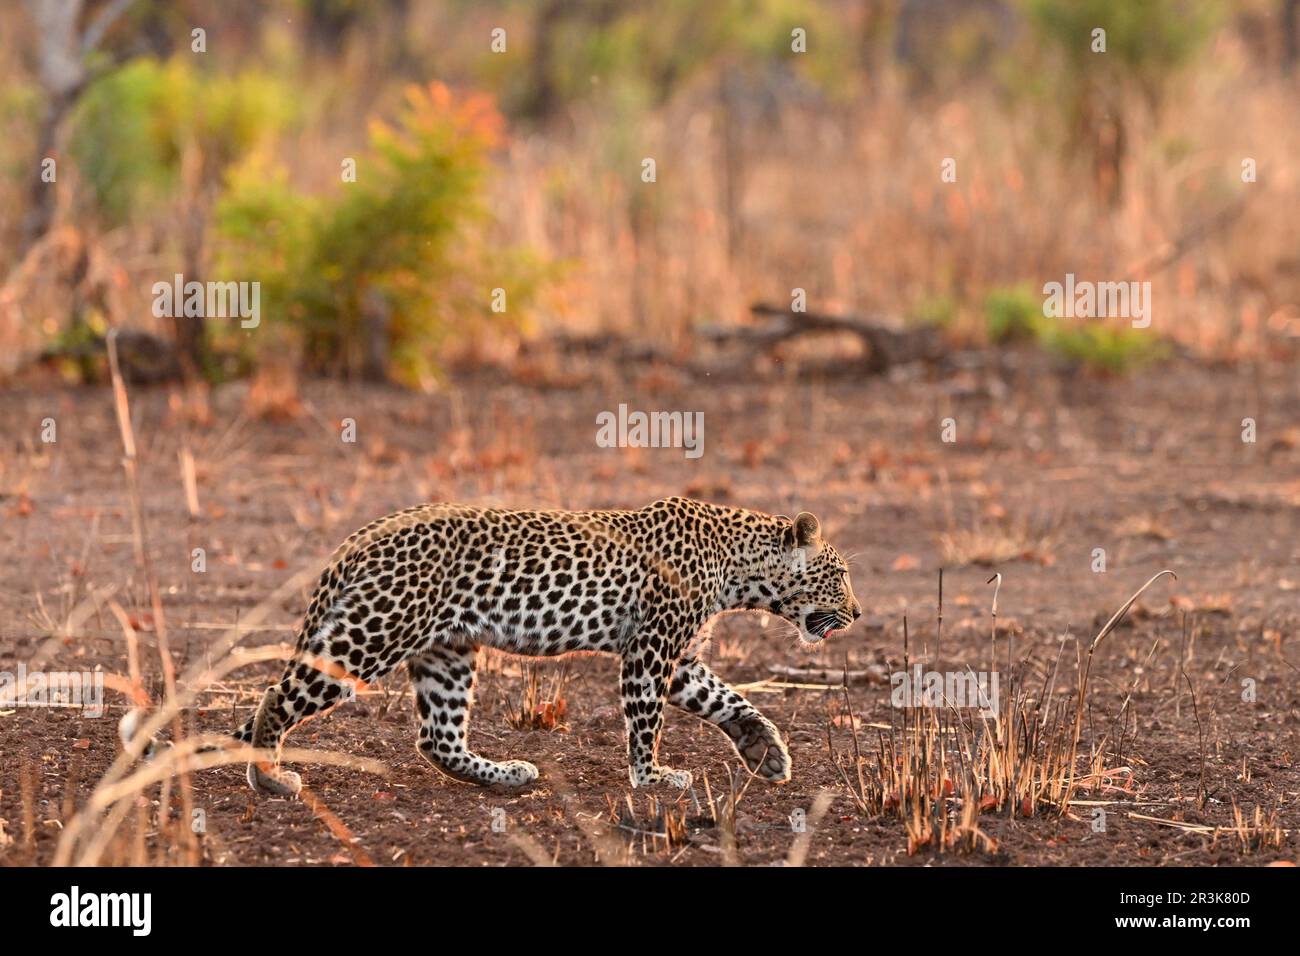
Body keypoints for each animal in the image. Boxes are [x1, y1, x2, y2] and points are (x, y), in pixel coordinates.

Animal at [234, 496, 862, 797]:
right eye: (838, 574)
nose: (857, 613)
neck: (738, 566)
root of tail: (361, 536)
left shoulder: (679, 659)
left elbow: (727, 699)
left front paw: (766, 751)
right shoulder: (651, 649)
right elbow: (646, 722)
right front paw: (652, 777)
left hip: (447, 652)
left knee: (437, 738)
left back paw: (506, 775)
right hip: (373, 635)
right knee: (274, 697)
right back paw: (271, 779)